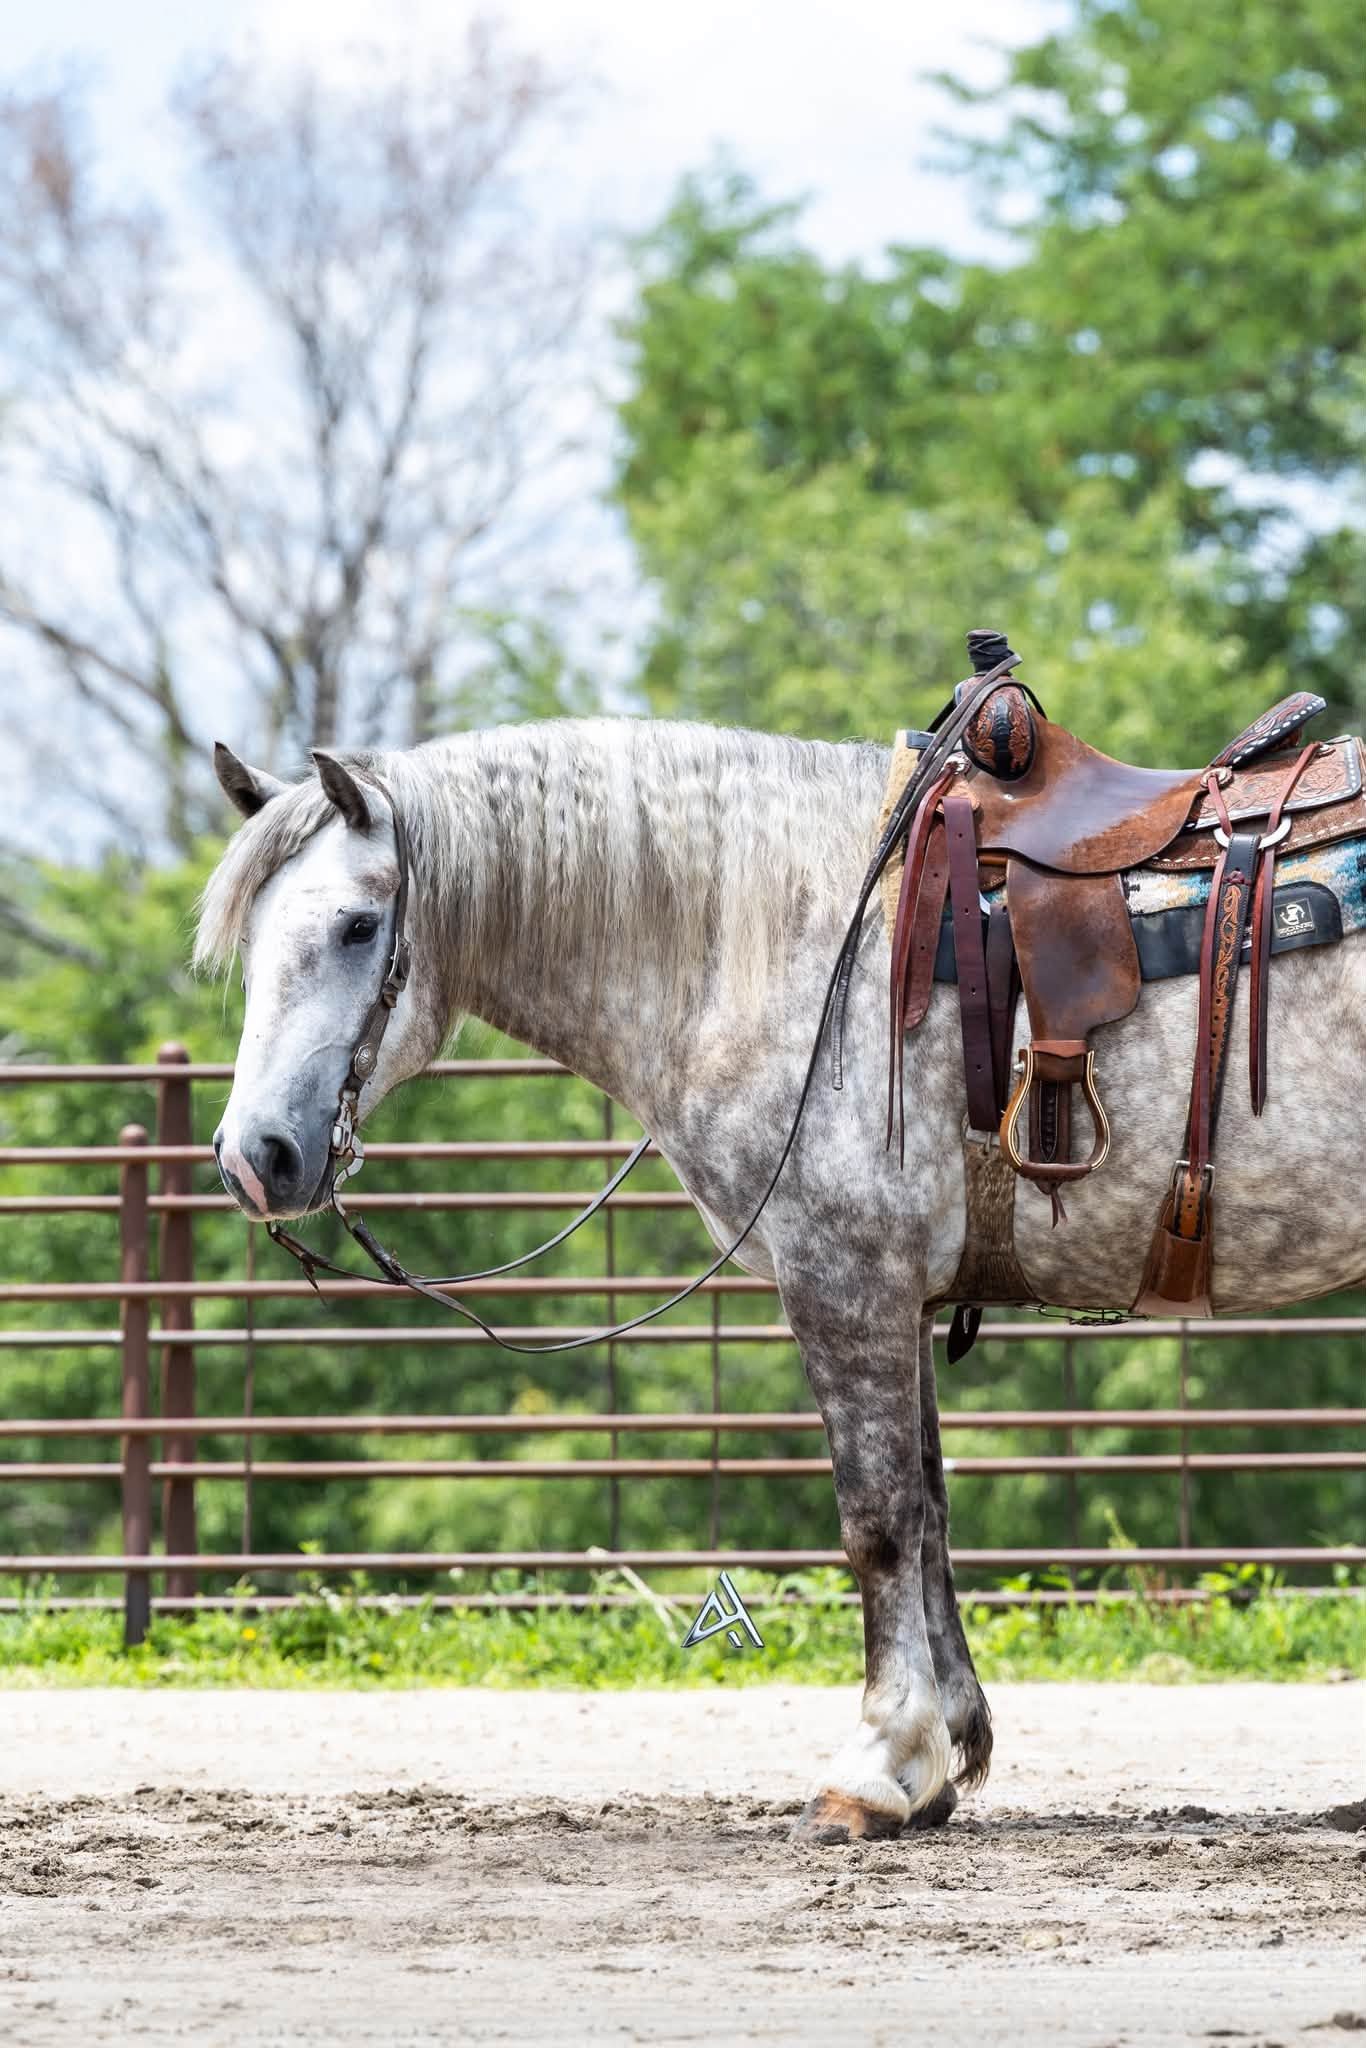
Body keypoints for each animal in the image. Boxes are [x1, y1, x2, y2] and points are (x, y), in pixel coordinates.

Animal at [197, 714, 1366, 1842]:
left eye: (358, 926)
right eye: (251, 939)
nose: (257, 1157)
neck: (795, 951)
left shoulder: (843, 1277)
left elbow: (878, 1520)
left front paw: (876, 1768)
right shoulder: (897, 1297)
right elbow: (928, 1513)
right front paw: (941, 1754)